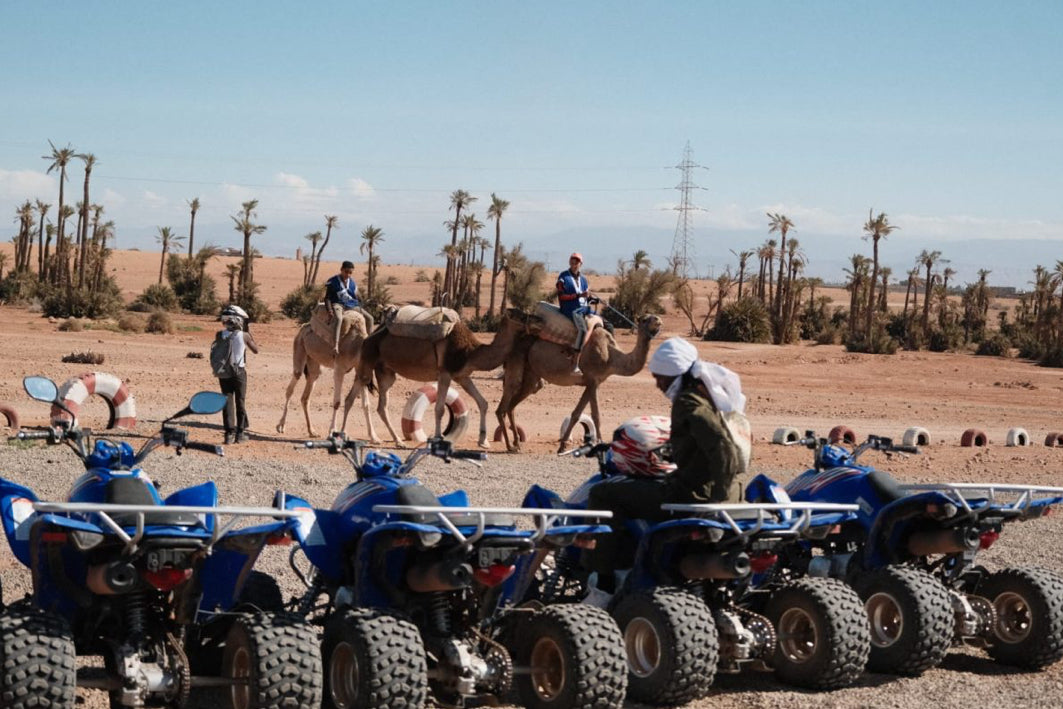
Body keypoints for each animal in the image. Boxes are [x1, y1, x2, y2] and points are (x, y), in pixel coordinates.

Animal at [338, 310, 540, 448]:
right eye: (521, 314)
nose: (537, 320)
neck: (470, 352)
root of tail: (368, 337)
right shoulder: (445, 373)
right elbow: (440, 409)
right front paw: (437, 437)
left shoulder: (462, 375)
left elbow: (483, 403)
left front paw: (484, 441)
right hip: (367, 363)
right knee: (349, 398)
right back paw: (341, 436)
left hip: (386, 372)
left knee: (381, 406)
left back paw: (398, 441)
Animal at [493, 314, 659, 454]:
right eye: (645, 319)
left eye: (654, 316)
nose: (657, 321)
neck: (611, 356)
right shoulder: (593, 380)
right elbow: (596, 415)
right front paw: (600, 443)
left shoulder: (592, 383)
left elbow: (576, 414)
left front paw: (562, 446)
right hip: (516, 361)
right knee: (505, 403)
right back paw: (509, 446)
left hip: (532, 374)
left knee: (513, 404)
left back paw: (517, 444)